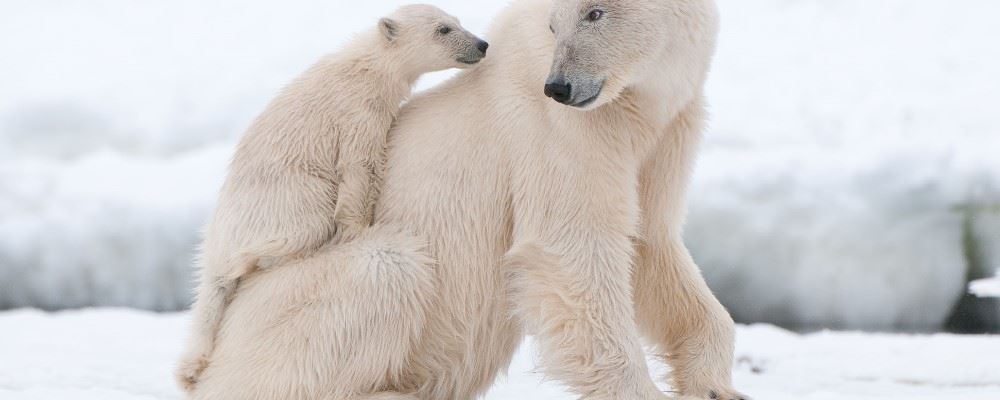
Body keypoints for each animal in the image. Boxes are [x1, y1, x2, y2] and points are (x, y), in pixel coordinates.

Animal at [191, 0, 748, 400]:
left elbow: (651, 244)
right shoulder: (558, 132)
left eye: (595, 12)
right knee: (387, 266)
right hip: (286, 303)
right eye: (554, 24)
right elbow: (571, 248)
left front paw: (716, 386)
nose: (560, 86)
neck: (633, 105)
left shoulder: (665, 132)